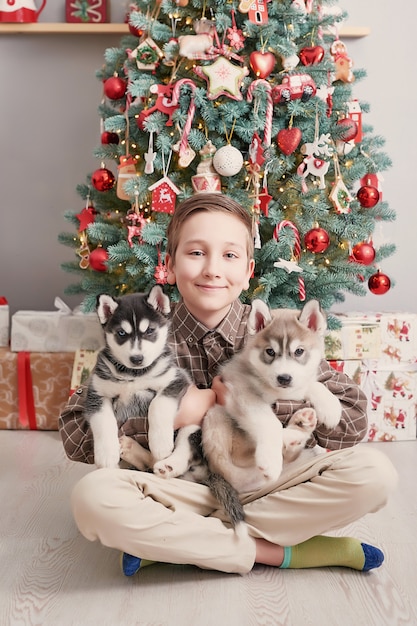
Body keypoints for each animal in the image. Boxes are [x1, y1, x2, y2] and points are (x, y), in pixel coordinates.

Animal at [85, 284, 192, 468]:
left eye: (149, 330)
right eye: (121, 333)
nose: (136, 359)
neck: (134, 374)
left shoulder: (175, 378)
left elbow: (158, 405)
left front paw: (160, 444)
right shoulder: (97, 392)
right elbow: (103, 421)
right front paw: (106, 455)